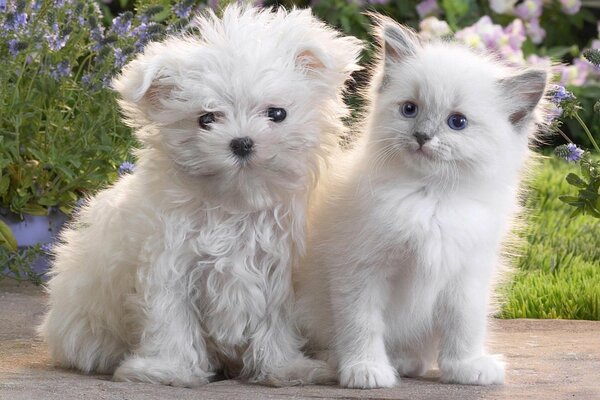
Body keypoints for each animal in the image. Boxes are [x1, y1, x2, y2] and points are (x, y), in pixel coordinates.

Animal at [39, 5, 364, 388]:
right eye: (206, 119)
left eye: (277, 114)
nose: (242, 142)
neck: (235, 204)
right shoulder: (170, 265)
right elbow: (171, 319)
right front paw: (167, 371)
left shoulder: (279, 273)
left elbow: (277, 323)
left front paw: (285, 369)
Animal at [296, 17, 548, 390]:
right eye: (409, 109)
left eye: (457, 122)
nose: (422, 136)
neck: (431, 199)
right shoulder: (359, 269)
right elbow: (361, 325)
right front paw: (366, 370)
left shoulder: (466, 273)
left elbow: (464, 325)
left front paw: (466, 367)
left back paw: (406, 361)